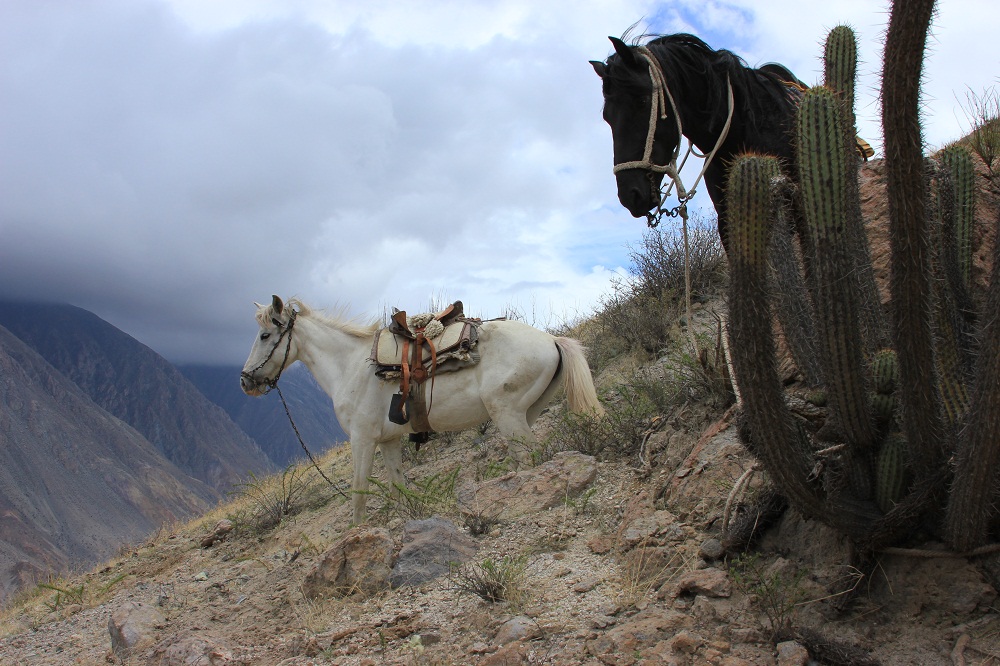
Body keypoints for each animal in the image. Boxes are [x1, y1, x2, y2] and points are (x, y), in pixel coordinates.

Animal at [242, 296, 600, 524]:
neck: (351, 366)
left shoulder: (363, 439)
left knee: (528, 459)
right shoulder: (388, 441)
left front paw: (357, 531)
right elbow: (397, 485)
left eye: (265, 335)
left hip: (508, 415)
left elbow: (359, 490)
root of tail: (552, 340)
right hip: (526, 413)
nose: (246, 381)